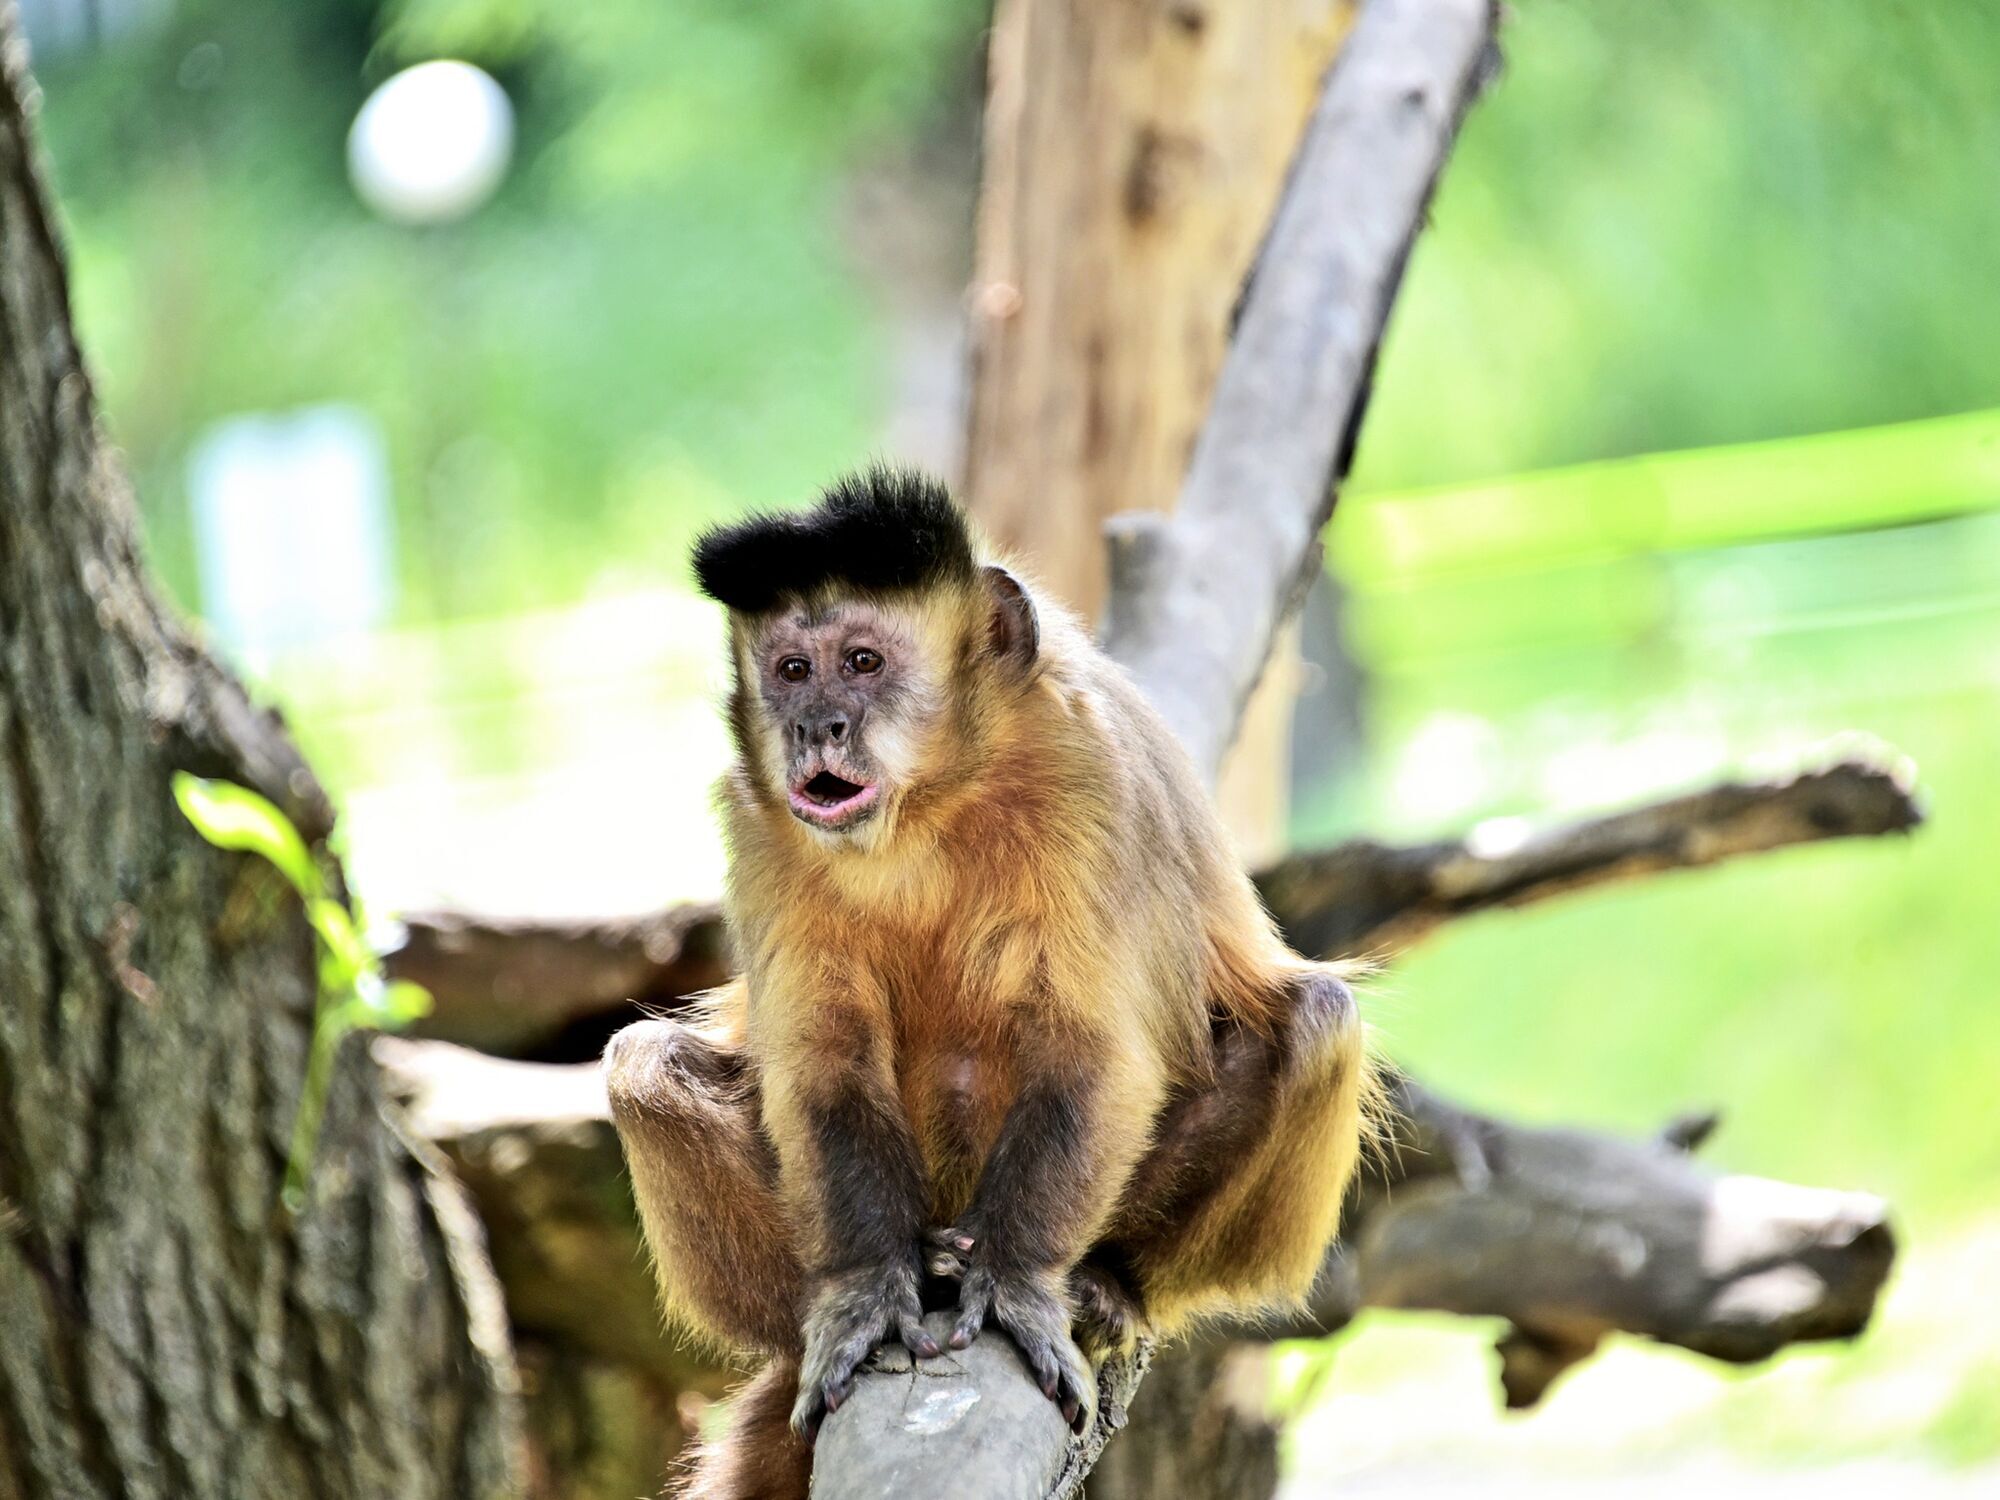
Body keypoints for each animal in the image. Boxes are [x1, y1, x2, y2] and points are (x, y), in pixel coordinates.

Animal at [600, 464, 1368, 1496]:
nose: (814, 726)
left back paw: (1109, 1283)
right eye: (793, 671)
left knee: (1320, 1019)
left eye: (864, 663)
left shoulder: (1089, 770)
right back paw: (845, 1301)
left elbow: (1094, 1056)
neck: (934, 803)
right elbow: (823, 1066)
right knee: (645, 1069)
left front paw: (1015, 1283)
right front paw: (864, 1293)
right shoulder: (758, 821)